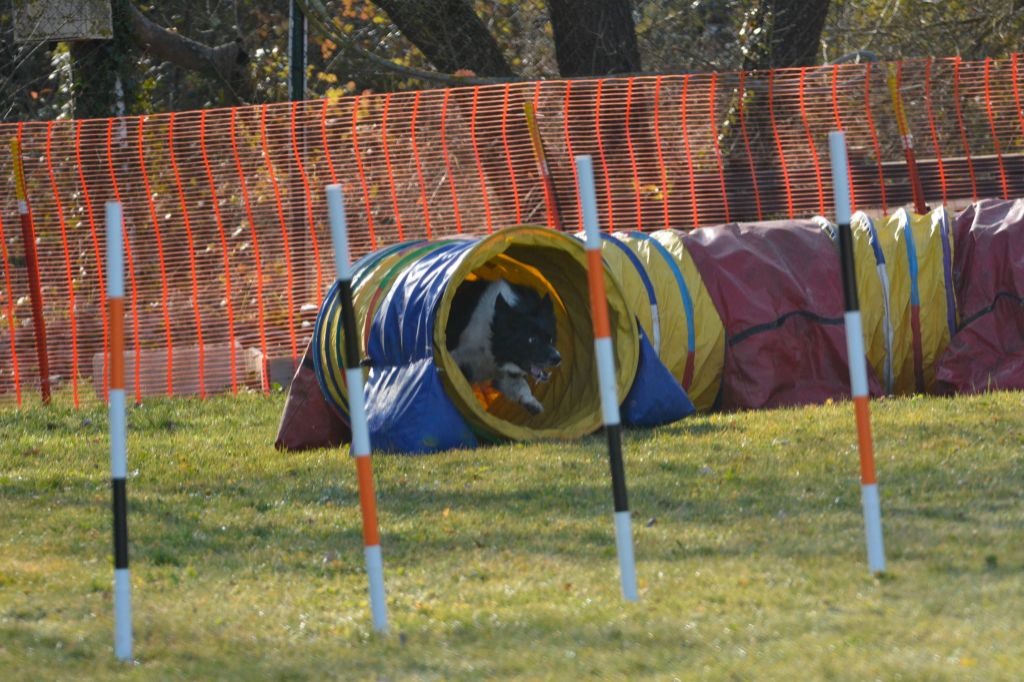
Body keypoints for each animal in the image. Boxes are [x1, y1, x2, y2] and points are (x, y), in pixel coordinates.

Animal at [446, 278, 561, 413]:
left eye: (551, 339)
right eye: (531, 339)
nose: (558, 359)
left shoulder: (504, 373)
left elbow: (520, 384)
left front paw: (531, 402)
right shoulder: (462, 356)